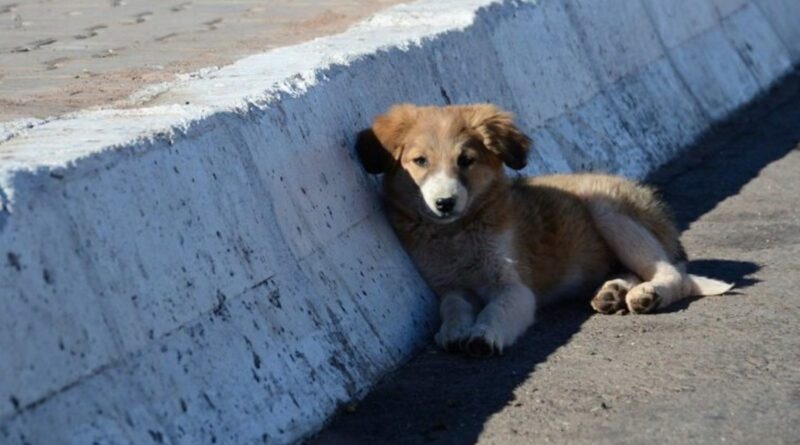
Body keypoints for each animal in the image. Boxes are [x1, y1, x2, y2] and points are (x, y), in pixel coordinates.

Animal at [354, 104, 732, 358]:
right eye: (420, 161)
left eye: (466, 161)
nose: (444, 203)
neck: (457, 233)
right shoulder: (449, 285)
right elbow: (453, 306)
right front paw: (454, 330)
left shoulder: (514, 288)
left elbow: (497, 310)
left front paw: (483, 335)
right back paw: (612, 292)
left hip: (606, 208)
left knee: (674, 274)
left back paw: (648, 294)